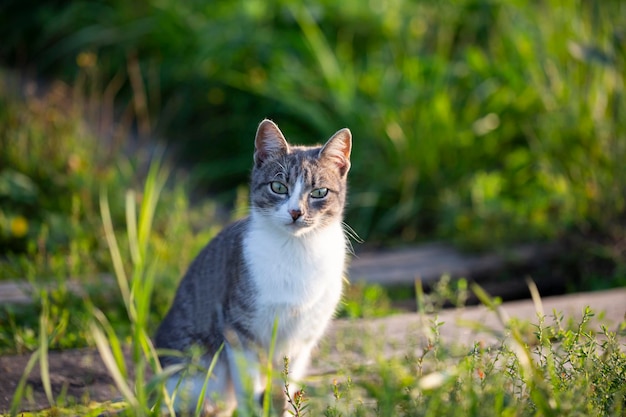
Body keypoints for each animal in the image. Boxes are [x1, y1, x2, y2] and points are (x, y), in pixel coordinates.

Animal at [154, 118, 352, 414]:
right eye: (278, 187)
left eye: (319, 192)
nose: (296, 212)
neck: (296, 251)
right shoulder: (239, 329)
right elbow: (249, 389)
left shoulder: (300, 339)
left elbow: (286, 388)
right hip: (196, 370)